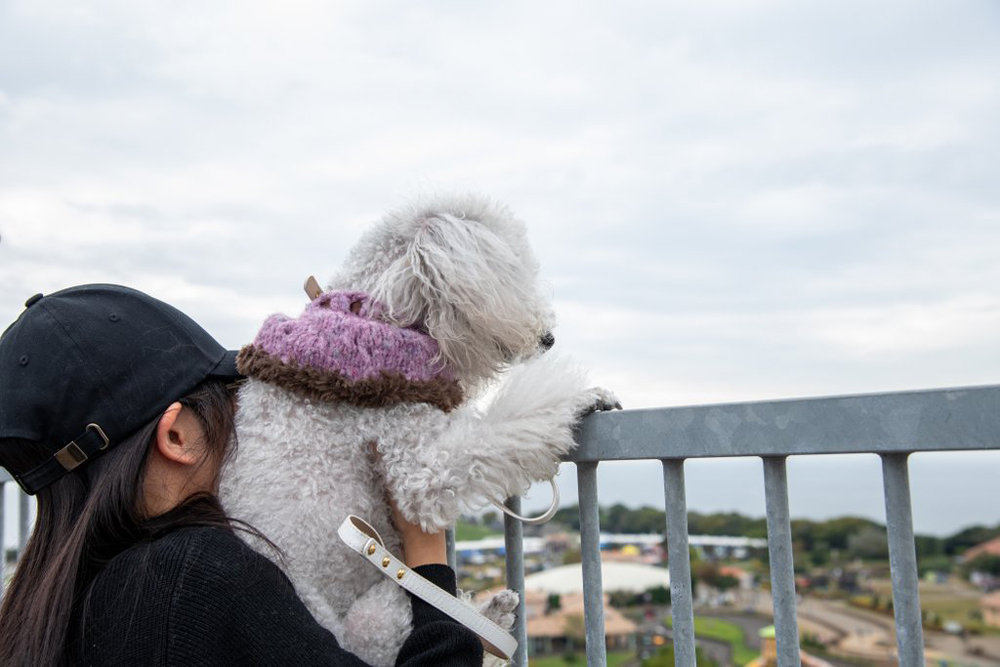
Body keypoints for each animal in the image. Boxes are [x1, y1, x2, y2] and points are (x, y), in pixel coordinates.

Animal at [223, 194, 620, 667]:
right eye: (509, 272)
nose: (548, 338)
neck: (373, 322)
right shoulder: (413, 458)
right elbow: (492, 437)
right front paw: (584, 397)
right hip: (378, 616)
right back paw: (490, 615)